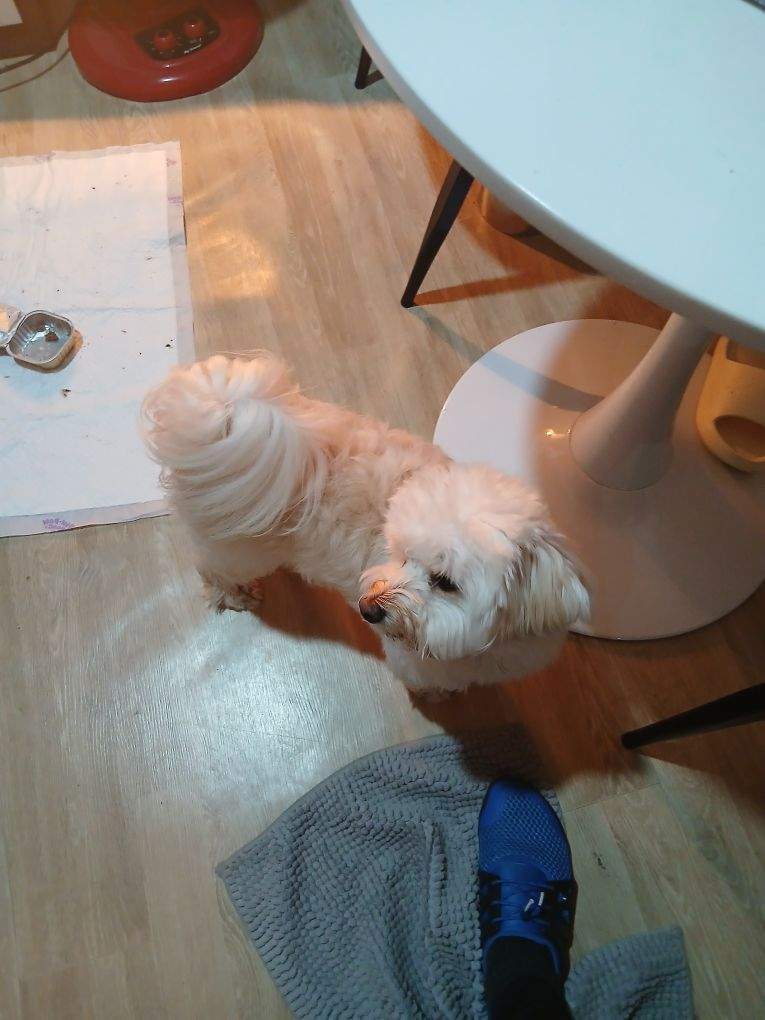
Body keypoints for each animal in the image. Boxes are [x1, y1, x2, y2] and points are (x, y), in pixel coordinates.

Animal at [142, 354, 589, 694]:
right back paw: (235, 594)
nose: (367, 609)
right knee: (212, 569)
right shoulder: (414, 662)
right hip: (237, 548)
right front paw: (437, 696)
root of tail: (221, 415)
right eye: (401, 554)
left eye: (445, 582)